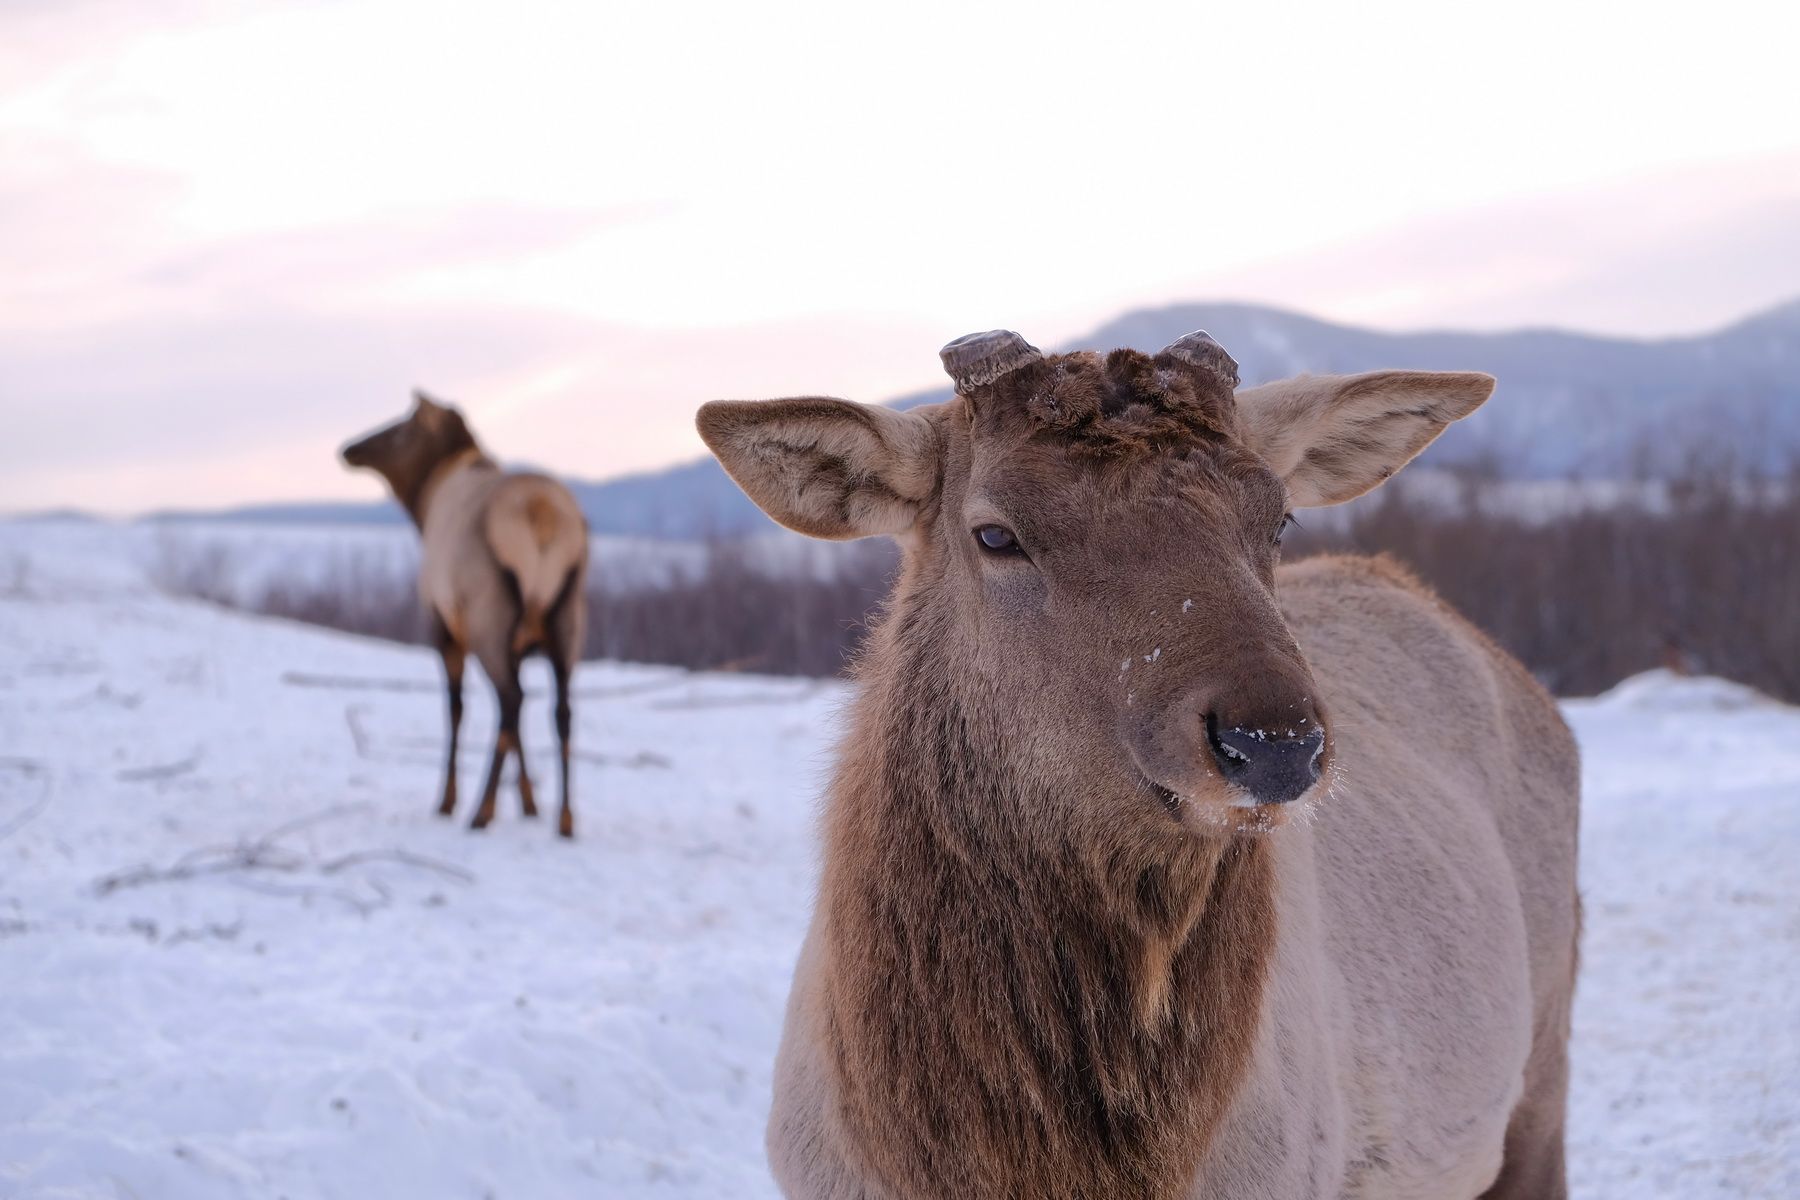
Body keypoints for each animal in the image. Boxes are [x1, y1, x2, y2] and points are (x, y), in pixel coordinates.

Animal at [340, 392, 586, 834]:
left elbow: (455, 708)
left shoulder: (442, 623)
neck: (424, 505)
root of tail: (542, 516)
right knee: (560, 710)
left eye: (400, 428)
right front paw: (529, 804)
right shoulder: (521, 642)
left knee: (510, 700)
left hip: (488, 616)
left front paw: (447, 800)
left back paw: (481, 810)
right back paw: (564, 818)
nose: (350, 449)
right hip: (568, 617)